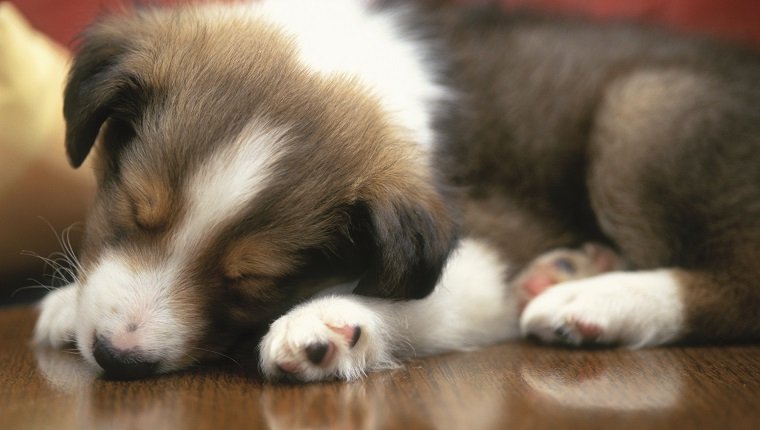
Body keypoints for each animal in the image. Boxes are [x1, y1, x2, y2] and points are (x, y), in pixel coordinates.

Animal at [34, 0, 760, 382]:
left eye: (253, 279)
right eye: (131, 213)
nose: (119, 357)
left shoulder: (491, 235)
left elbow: (427, 298)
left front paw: (329, 325)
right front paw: (69, 302)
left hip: (645, 106)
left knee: (741, 284)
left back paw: (592, 302)